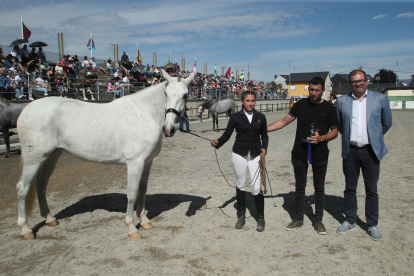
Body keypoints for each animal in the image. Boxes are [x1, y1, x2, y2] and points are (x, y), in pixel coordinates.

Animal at [14, 69, 192, 239]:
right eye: (166, 93)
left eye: (185, 95)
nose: (169, 129)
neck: (143, 115)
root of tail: (26, 110)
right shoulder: (135, 163)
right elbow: (132, 194)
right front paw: (131, 228)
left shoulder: (147, 162)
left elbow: (142, 190)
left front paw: (145, 221)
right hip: (34, 159)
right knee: (23, 188)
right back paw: (25, 229)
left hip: (51, 156)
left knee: (41, 184)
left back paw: (49, 218)